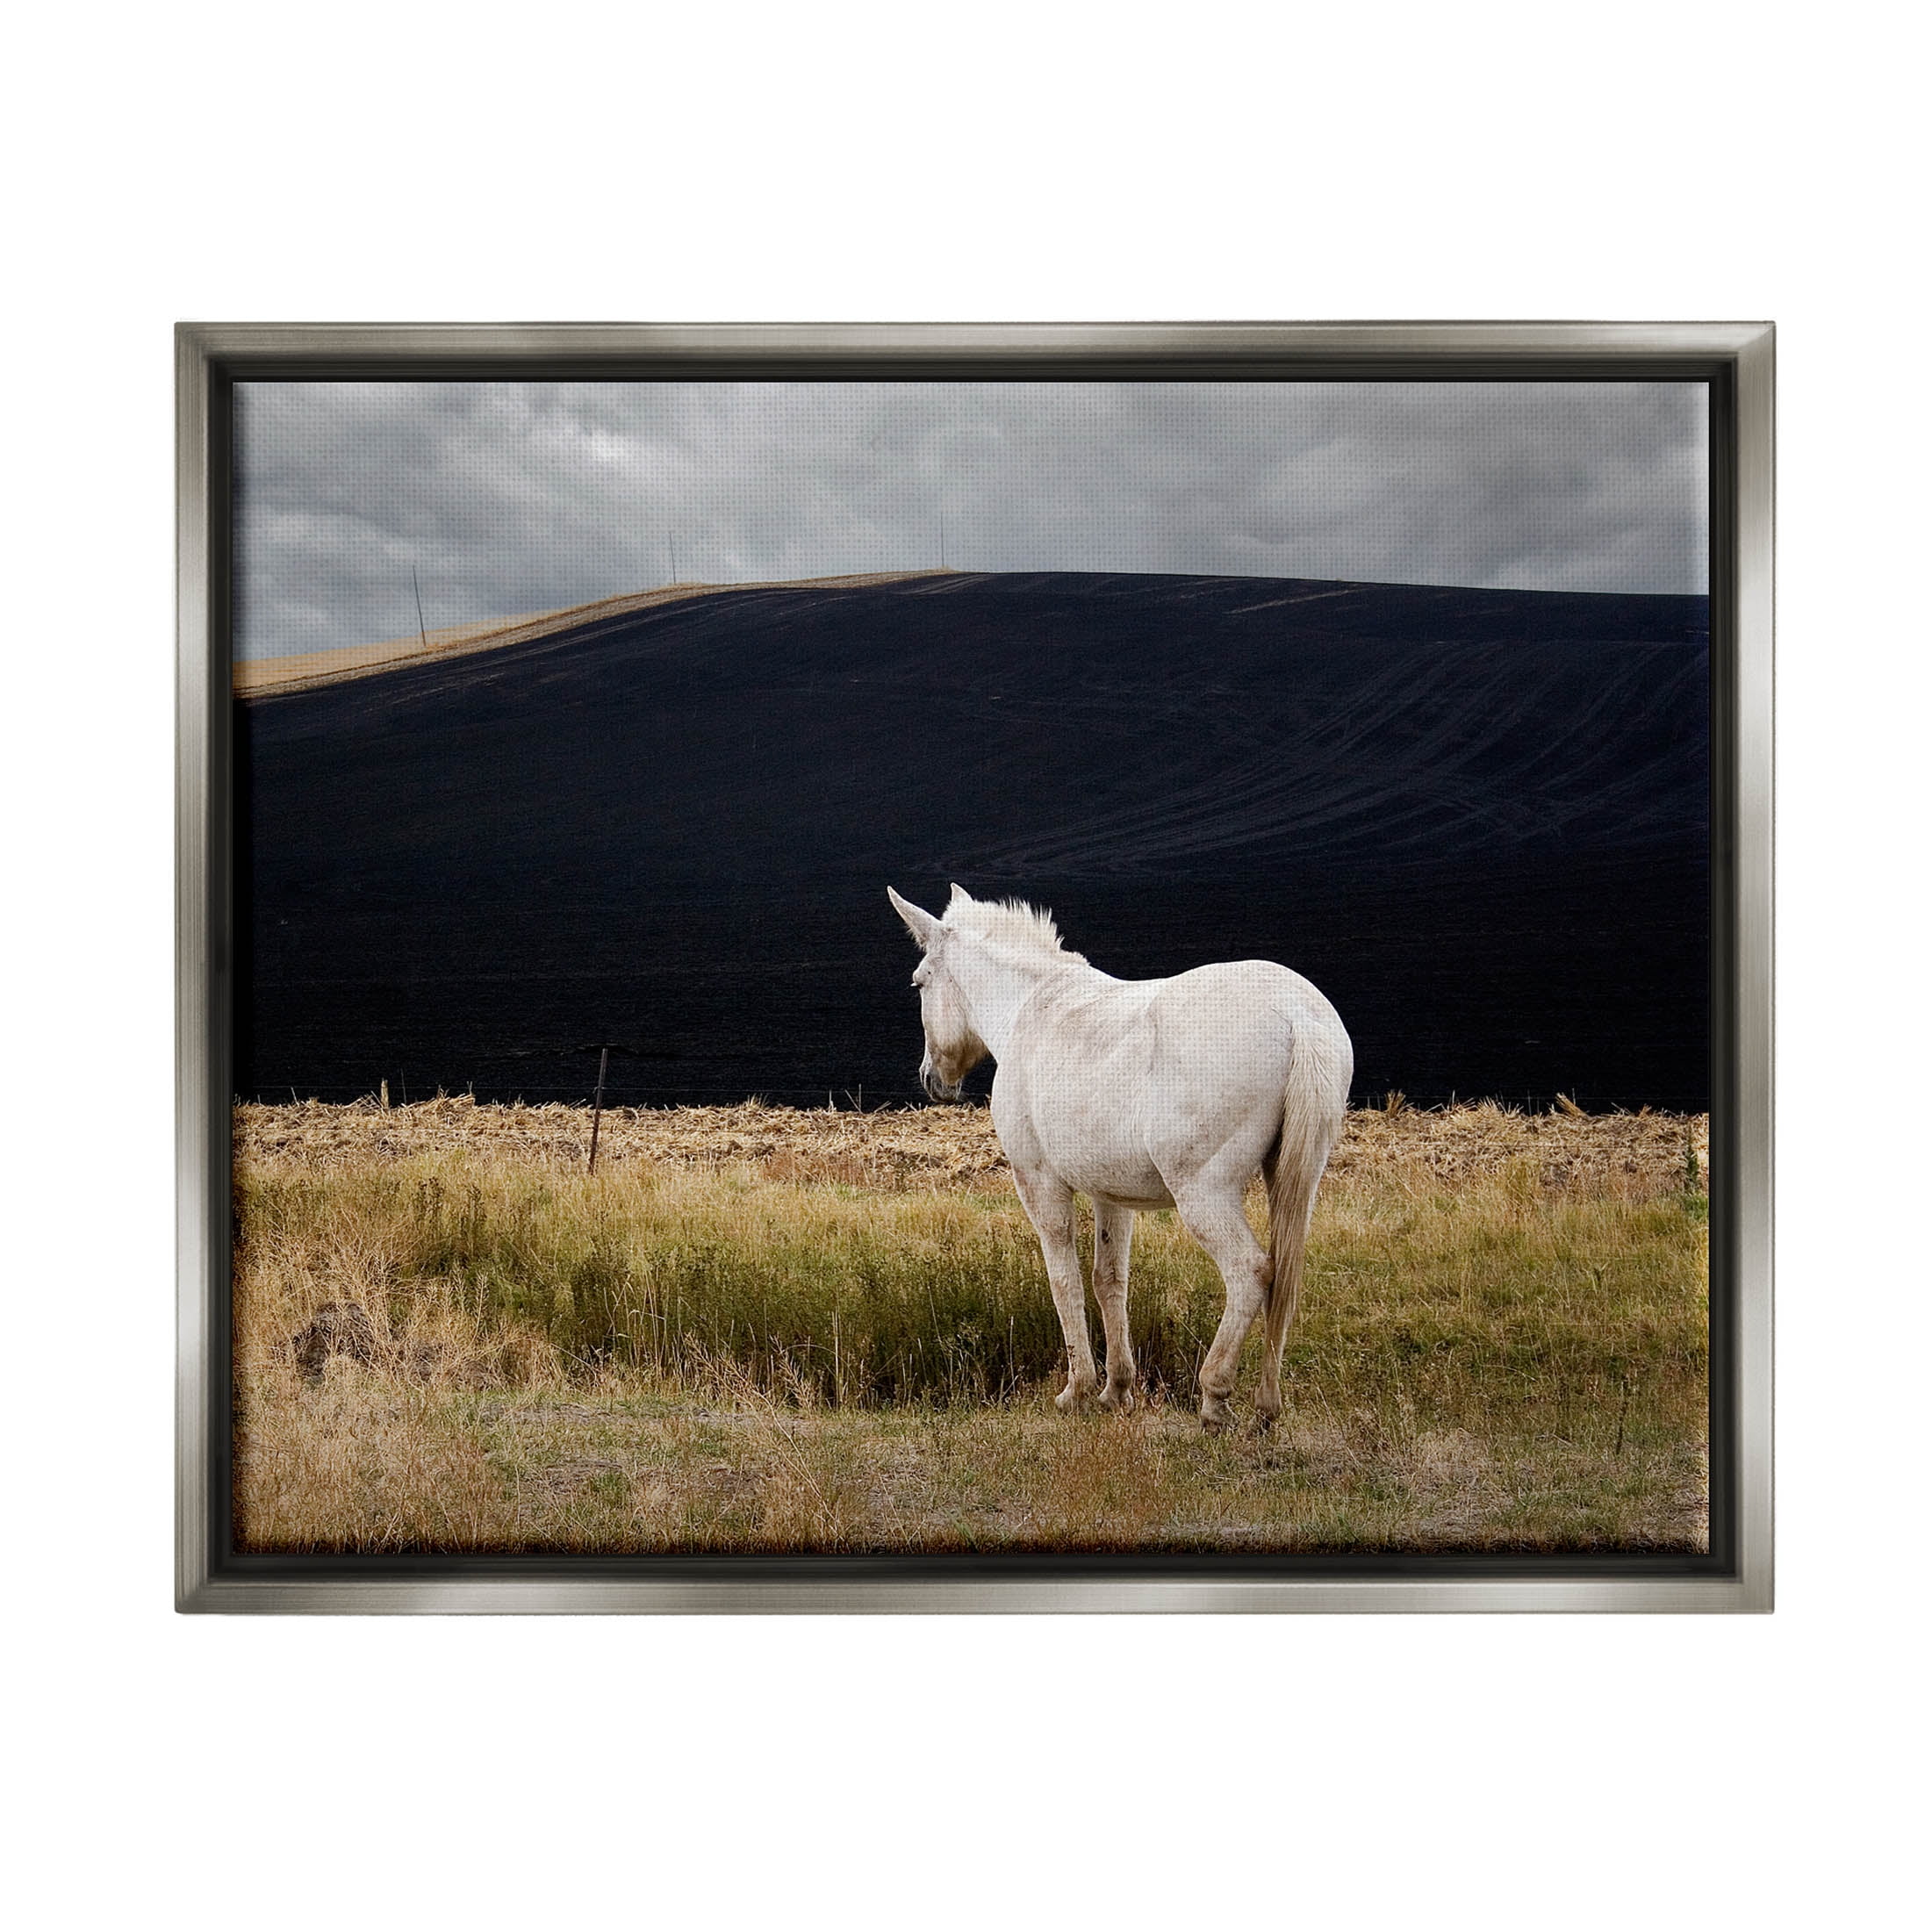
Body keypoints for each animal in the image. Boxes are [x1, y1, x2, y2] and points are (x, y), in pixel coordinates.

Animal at [889, 884, 1353, 1432]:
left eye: (920, 982)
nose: (932, 1080)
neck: (1033, 1009)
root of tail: (1297, 1015)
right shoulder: (1112, 1195)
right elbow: (1109, 1280)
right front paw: (1117, 1390)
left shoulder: (1039, 1183)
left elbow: (1064, 1279)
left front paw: (1077, 1390)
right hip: (1296, 1180)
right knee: (1283, 1277)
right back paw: (1266, 1405)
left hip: (1204, 1195)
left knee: (1251, 1271)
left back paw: (1215, 1397)